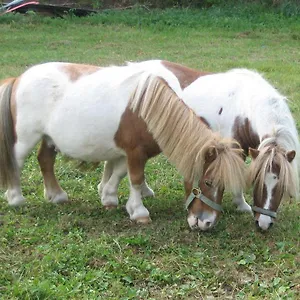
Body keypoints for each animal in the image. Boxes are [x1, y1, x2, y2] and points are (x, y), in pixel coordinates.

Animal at [0, 61, 246, 230]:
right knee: (16, 163)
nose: (207, 223)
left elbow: (118, 173)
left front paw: (109, 198)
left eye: (224, 185)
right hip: (26, 139)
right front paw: (139, 212)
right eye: (208, 181)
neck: (148, 109)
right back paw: (16, 199)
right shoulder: (135, 152)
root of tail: (19, 79)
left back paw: (56, 195)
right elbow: (135, 179)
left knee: (45, 160)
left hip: (49, 138)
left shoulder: (126, 152)